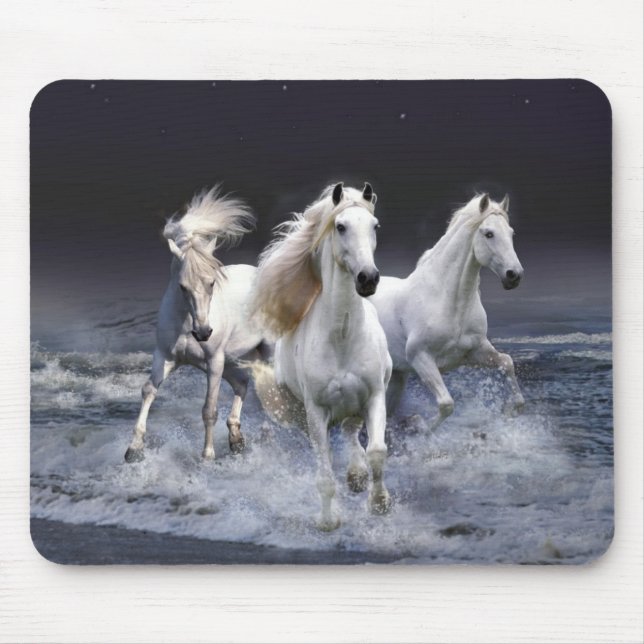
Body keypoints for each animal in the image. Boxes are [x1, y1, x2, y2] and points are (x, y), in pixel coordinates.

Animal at [124, 186, 271, 463]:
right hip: (230, 360)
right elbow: (148, 390)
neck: (185, 324)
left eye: (212, 282)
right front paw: (134, 449)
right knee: (242, 383)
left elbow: (209, 409)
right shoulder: (166, 357)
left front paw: (207, 456)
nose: (203, 332)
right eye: (182, 286)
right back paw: (236, 439)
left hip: (262, 354)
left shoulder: (213, 362)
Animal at [249, 182, 392, 531]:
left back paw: (357, 476)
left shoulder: (374, 396)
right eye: (340, 227)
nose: (368, 278)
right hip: (303, 414)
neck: (342, 337)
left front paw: (379, 503)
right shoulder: (316, 412)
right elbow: (325, 473)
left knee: (352, 432)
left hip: (356, 404)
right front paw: (328, 521)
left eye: (375, 226)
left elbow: (377, 451)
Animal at [369, 193, 525, 431]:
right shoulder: (420, 358)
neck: (449, 302)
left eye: (511, 233)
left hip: (396, 376)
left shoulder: (475, 351)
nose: (514, 275)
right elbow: (446, 404)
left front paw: (510, 409)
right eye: (489, 233)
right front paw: (420, 425)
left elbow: (507, 362)